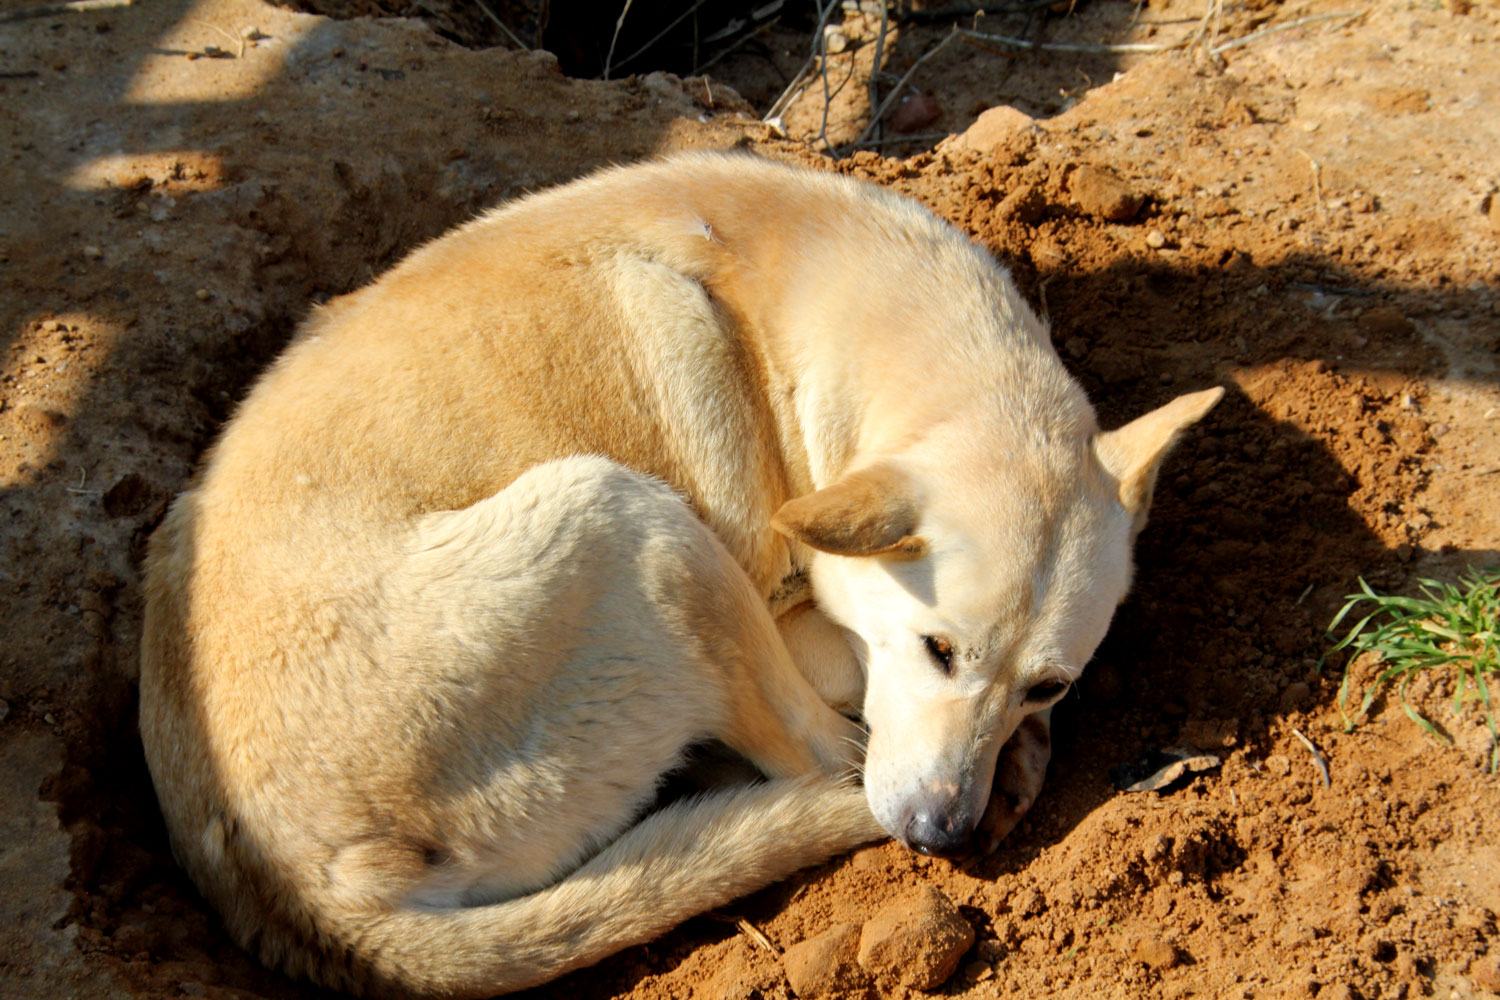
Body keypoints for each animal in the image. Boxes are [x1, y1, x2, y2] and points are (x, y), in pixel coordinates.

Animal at [138, 152, 1218, 995]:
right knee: (822, 759)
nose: (939, 836)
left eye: (1048, 682)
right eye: (936, 649)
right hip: (626, 519)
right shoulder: (795, 608)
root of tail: (312, 899)